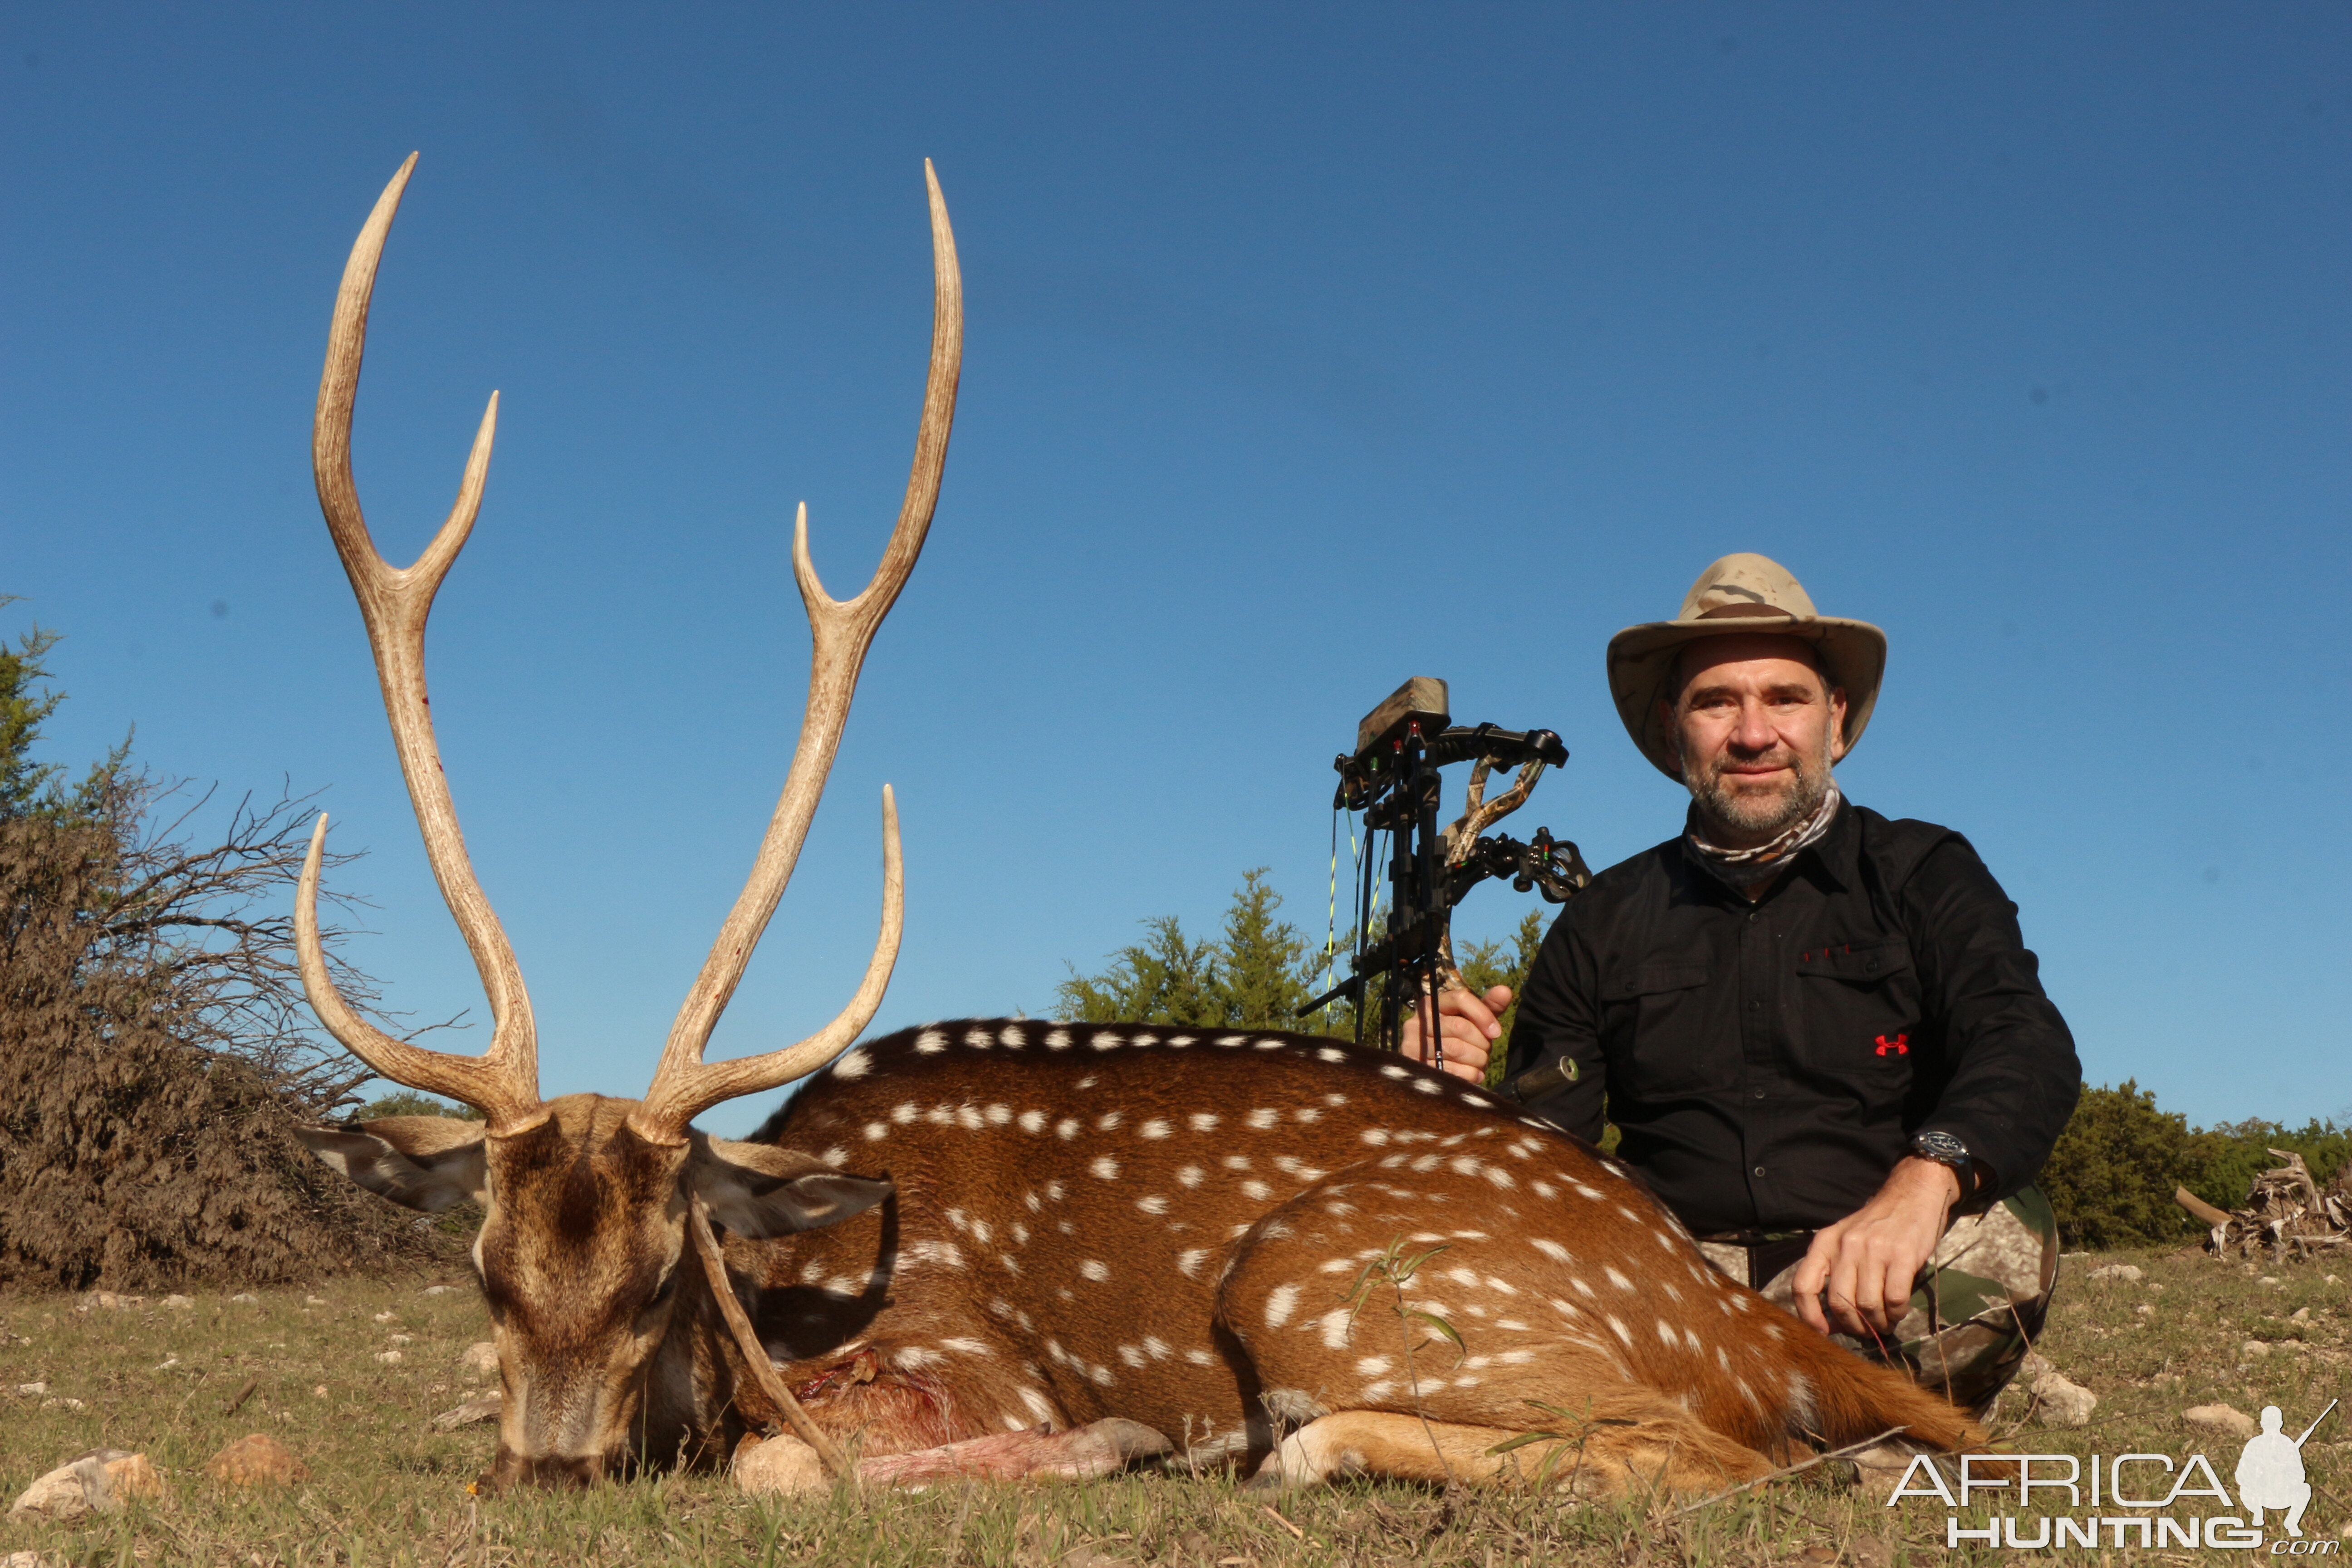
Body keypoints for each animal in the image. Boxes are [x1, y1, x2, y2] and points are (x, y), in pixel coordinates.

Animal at [289, 160, 1985, 1495]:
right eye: (484, 1268)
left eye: (666, 1274)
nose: (557, 1465)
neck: (790, 1275)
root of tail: (1740, 1312)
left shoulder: (956, 1352)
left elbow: (789, 1459)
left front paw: (1095, 1443)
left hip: (1333, 1283)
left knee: (1701, 1456)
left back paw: (1273, 1445)